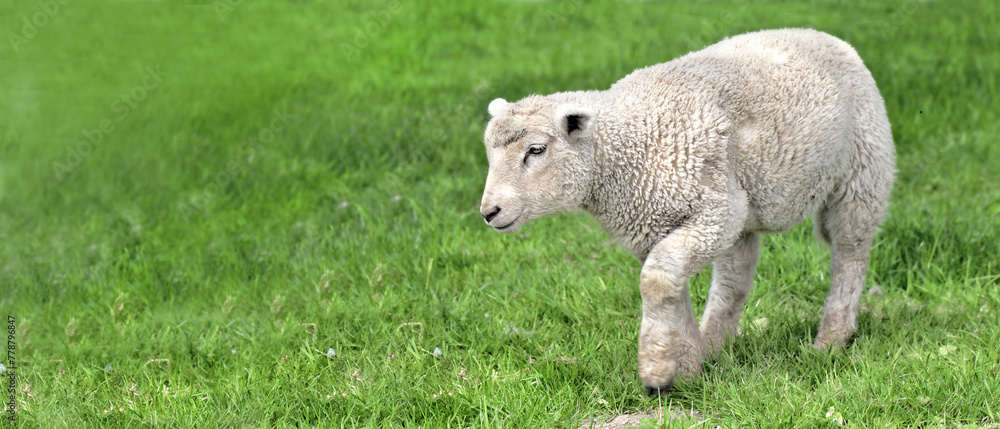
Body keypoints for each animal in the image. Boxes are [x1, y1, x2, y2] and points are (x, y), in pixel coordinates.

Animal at [477, 28, 896, 396]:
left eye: (536, 150)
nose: (489, 211)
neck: (626, 151)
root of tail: (821, 35)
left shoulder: (714, 211)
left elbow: (657, 280)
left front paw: (656, 372)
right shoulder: (657, 227)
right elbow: (668, 288)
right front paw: (689, 366)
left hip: (862, 172)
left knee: (850, 251)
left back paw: (830, 341)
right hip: (745, 211)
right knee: (734, 280)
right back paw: (714, 347)